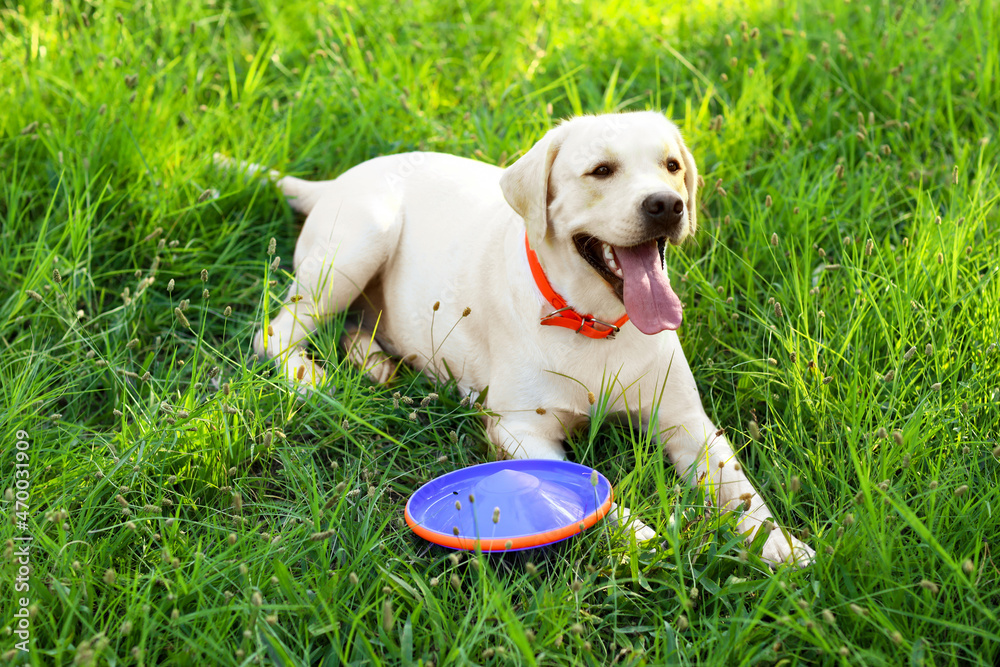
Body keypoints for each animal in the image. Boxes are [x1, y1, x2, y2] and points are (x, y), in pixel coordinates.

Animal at [217, 112, 812, 568]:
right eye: (601, 171)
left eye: (672, 166)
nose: (667, 203)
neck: (593, 323)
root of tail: (338, 180)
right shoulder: (519, 428)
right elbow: (583, 489)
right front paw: (638, 533)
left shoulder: (689, 424)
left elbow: (741, 491)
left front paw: (783, 546)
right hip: (360, 241)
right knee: (275, 332)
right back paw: (309, 377)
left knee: (352, 326)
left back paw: (374, 362)